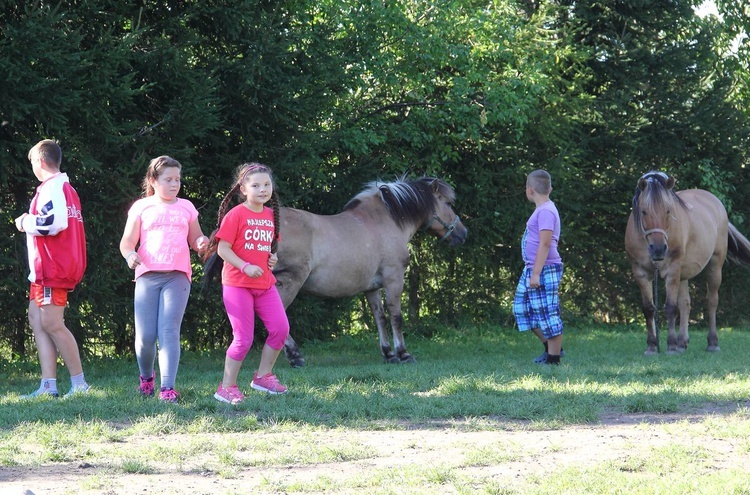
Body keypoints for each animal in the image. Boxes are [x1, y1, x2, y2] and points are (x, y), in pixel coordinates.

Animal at [274, 176, 468, 366]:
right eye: (448, 203)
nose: (463, 233)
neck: (386, 221)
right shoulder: (394, 279)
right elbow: (396, 317)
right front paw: (403, 353)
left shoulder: (372, 287)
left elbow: (380, 317)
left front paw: (388, 353)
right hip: (290, 280)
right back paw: (295, 355)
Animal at [624, 172, 750, 354]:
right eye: (644, 211)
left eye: (668, 210)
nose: (659, 249)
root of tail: (715, 202)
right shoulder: (640, 272)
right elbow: (649, 309)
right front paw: (652, 346)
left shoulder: (672, 270)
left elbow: (670, 307)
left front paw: (670, 345)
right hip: (683, 273)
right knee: (685, 304)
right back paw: (682, 342)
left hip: (714, 265)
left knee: (711, 302)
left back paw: (712, 343)